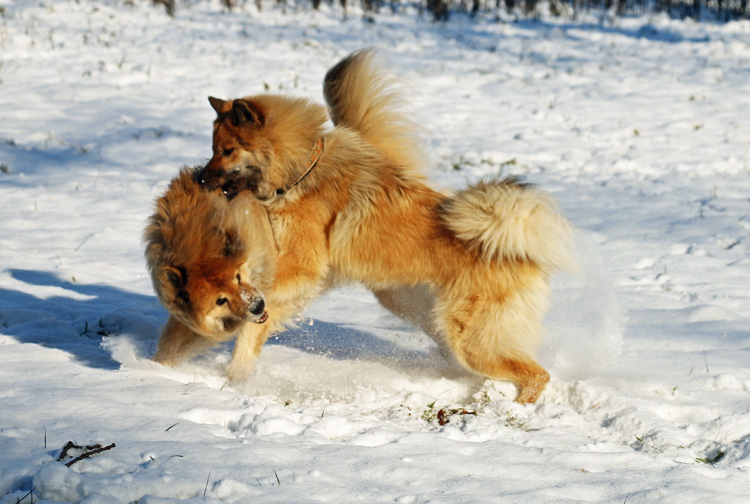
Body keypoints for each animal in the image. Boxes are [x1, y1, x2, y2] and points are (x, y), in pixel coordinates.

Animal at [197, 48, 572, 402]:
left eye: (227, 150)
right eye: (214, 148)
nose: (200, 178)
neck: (302, 169)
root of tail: (520, 250)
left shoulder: (303, 266)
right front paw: (236, 373)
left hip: (471, 338)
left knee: (537, 374)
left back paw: (511, 407)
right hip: (421, 310)